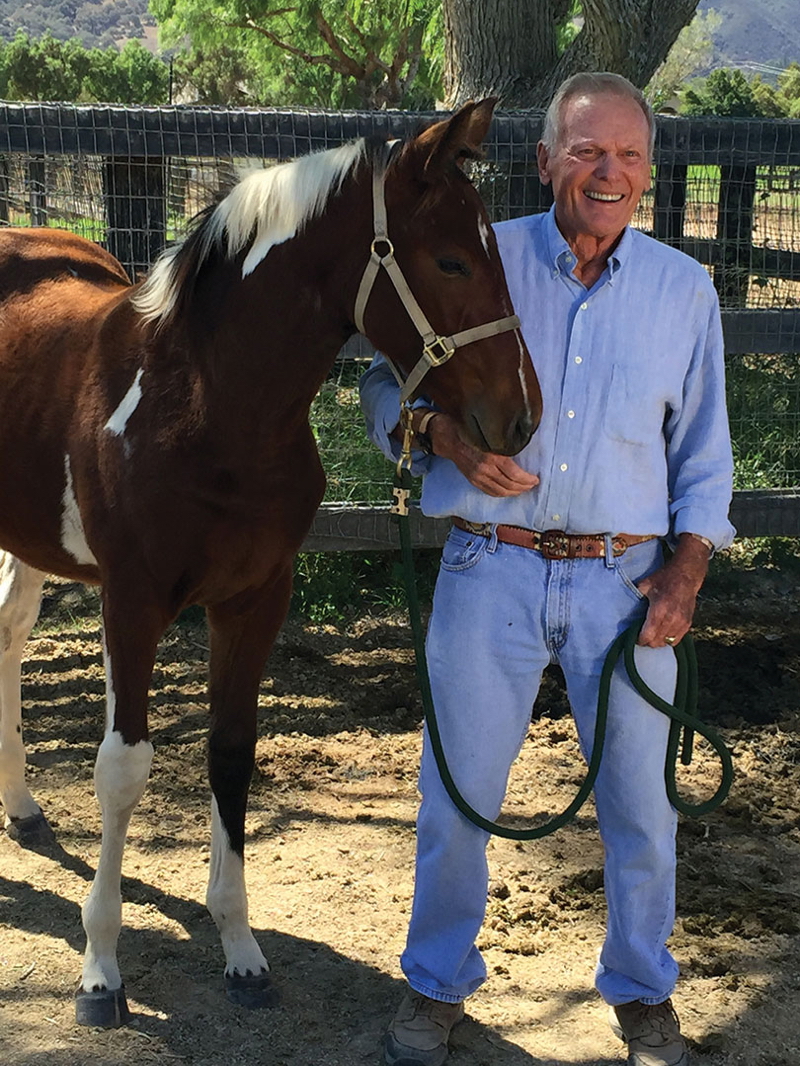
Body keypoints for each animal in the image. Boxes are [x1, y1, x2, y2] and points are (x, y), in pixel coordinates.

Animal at [0, 98, 546, 1023]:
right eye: (451, 259)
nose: (521, 417)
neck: (204, 405)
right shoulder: (132, 602)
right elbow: (122, 769)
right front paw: (101, 970)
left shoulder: (254, 598)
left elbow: (231, 751)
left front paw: (240, 951)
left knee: (7, 635)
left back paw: (24, 808)